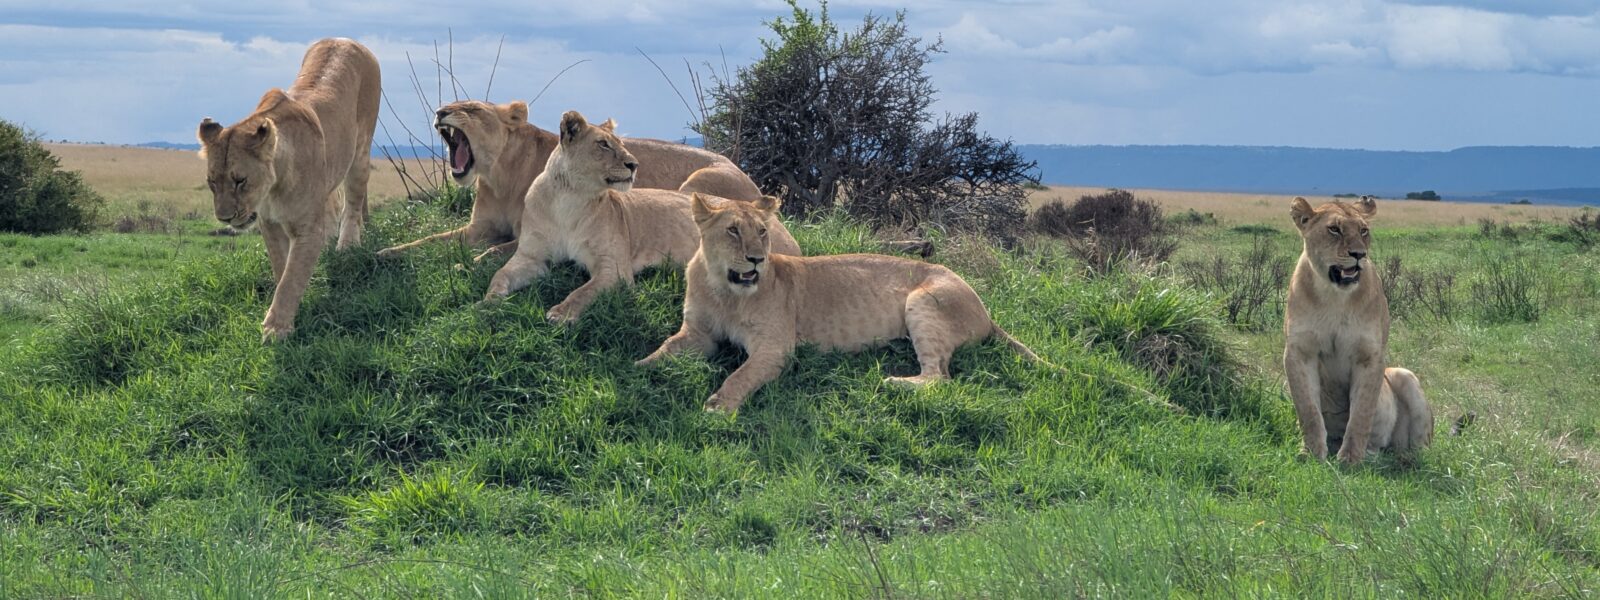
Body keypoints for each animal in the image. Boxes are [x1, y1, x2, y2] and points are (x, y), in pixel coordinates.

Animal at [197, 38, 380, 343]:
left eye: (240, 180)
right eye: (212, 182)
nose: (224, 218)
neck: (273, 189)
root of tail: (346, 40)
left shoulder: (307, 228)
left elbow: (291, 277)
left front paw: (276, 329)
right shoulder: (269, 224)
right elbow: (282, 269)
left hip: (360, 152)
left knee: (353, 204)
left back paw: (346, 245)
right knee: (333, 203)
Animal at [375, 99, 765, 260]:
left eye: (469, 109)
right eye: (447, 104)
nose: (440, 112)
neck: (498, 174)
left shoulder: (529, 232)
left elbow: (494, 251)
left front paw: (467, 263)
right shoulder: (479, 227)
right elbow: (429, 240)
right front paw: (386, 253)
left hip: (696, 182)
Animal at [482, 111, 800, 322]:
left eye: (621, 143)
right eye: (603, 144)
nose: (634, 164)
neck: (570, 199)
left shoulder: (615, 269)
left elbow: (583, 291)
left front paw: (561, 312)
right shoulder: (532, 257)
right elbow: (499, 274)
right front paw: (487, 303)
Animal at [636, 193, 1038, 413]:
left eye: (763, 232)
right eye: (733, 230)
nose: (757, 260)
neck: (725, 292)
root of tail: (984, 308)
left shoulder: (775, 347)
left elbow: (741, 375)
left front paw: (719, 406)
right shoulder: (698, 334)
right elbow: (665, 349)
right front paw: (638, 369)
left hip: (923, 301)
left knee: (940, 377)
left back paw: (892, 382)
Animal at [1284, 196, 1433, 464]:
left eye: (1364, 231)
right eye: (1334, 229)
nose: (1359, 254)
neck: (1334, 297)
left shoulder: (1369, 355)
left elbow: (1361, 412)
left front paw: (1350, 460)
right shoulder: (1299, 352)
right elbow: (1308, 409)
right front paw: (1311, 454)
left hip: (1404, 374)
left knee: (1421, 446)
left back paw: (1406, 459)